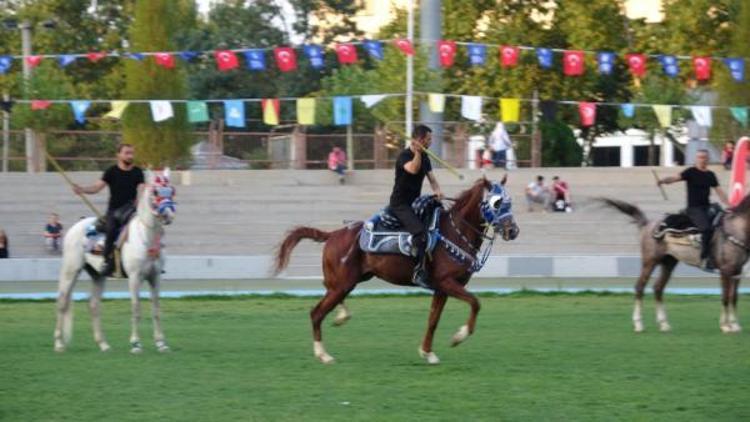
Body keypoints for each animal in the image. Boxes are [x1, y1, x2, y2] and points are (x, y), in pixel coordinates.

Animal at [53, 168, 177, 352]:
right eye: (155, 192)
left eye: (172, 191)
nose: (169, 215)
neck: (145, 236)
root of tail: (76, 226)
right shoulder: (134, 277)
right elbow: (136, 308)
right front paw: (135, 344)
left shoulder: (155, 277)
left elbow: (156, 309)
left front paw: (161, 343)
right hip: (71, 269)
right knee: (62, 301)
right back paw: (59, 343)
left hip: (97, 274)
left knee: (94, 305)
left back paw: (103, 344)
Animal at [274, 176, 520, 364]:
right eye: (497, 203)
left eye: (510, 202)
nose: (513, 230)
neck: (453, 232)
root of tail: (333, 234)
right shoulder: (448, 283)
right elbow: (475, 303)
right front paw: (458, 337)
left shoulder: (442, 288)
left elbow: (433, 320)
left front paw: (427, 353)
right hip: (343, 284)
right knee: (316, 313)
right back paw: (323, 355)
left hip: (350, 281)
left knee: (326, 296)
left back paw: (341, 317)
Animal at [604, 197, 750, 332]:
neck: (735, 229)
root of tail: (648, 224)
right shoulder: (725, 270)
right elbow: (725, 297)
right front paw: (725, 326)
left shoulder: (736, 270)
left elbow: (733, 297)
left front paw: (735, 325)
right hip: (650, 261)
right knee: (640, 287)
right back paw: (639, 324)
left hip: (668, 262)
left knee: (658, 288)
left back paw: (664, 324)